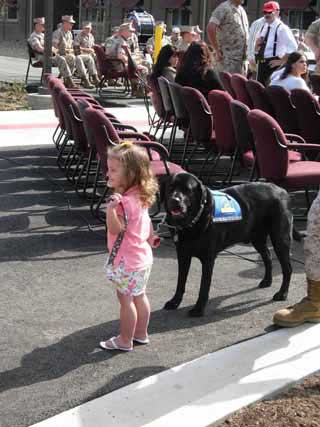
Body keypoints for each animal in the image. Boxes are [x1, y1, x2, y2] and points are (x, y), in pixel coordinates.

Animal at [165, 174, 292, 318]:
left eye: (187, 190)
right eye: (170, 187)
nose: (174, 200)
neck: (191, 224)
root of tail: (282, 190)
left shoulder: (208, 259)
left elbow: (204, 286)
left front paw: (198, 309)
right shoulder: (182, 255)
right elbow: (180, 282)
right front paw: (174, 302)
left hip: (280, 239)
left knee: (287, 268)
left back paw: (282, 293)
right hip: (258, 239)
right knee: (268, 257)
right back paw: (267, 281)